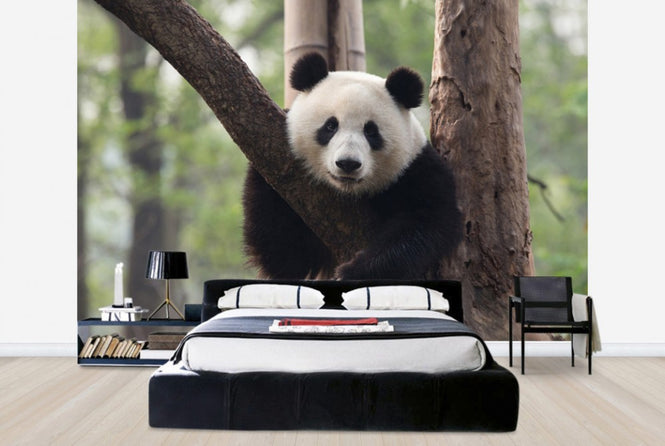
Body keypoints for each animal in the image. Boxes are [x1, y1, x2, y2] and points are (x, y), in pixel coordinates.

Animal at [243, 52, 462, 280]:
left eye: (371, 131)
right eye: (331, 126)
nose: (348, 163)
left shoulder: (415, 170)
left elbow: (427, 220)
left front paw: (355, 271)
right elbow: (285, 253)